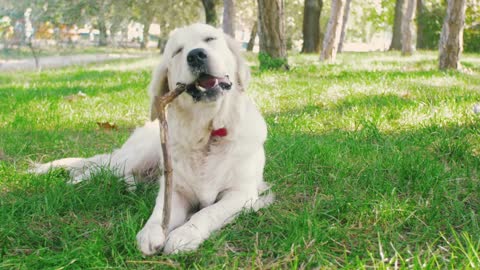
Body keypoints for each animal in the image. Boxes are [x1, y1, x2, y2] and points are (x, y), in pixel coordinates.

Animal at [31, 23, 274, 255]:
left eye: (209, 39)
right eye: (177, 51)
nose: (196, 55)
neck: (206, 134)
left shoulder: (242, 194)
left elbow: (208, 212)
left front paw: (185, 234)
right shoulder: (175, 190)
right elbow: (159, 213)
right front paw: (150, 233)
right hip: (137, 155)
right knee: (97, 169)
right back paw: (73, 183)